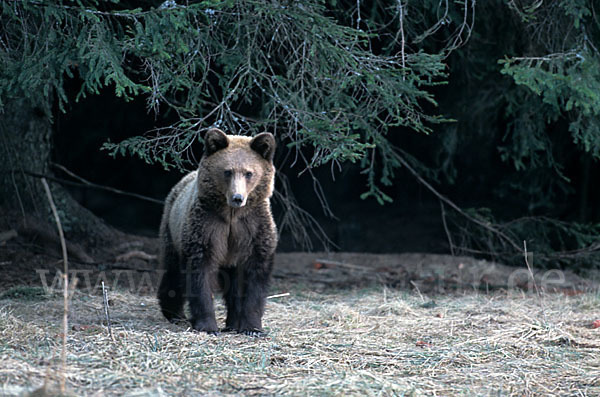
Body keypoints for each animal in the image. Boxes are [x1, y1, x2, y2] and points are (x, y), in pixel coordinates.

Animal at [155, 127, 276, 334]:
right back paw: (175, 313)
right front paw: (207, 325)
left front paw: (252, 327)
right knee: (173, 270)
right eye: (227, 171)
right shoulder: (207, 226)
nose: (237, 197)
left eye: (249, 173)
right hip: (171, 228)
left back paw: (233, 322)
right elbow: (199, 273)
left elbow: (255, 275)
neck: (231, 215)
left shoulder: (252, 228)